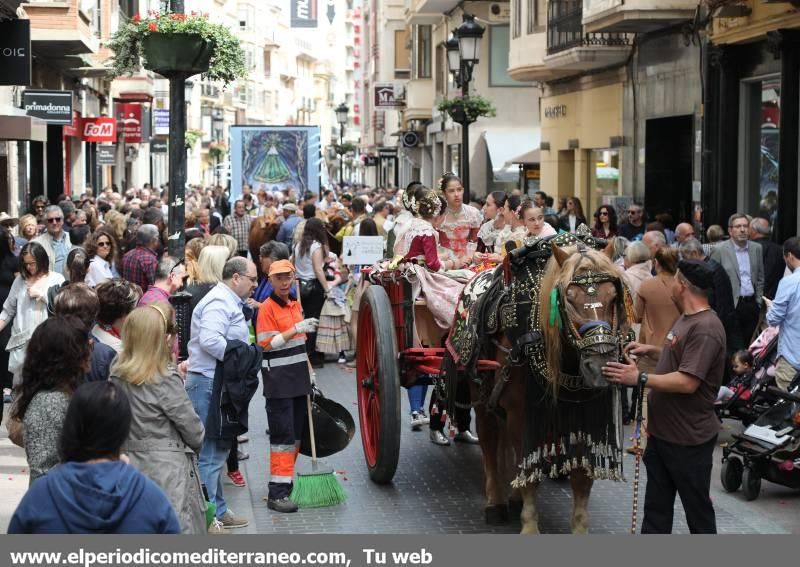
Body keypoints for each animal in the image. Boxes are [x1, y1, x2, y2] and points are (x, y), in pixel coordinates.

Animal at [446, 229, 636, 536]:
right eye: (568, 298)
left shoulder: (581, 416)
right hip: (482, 396)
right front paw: (529, 525)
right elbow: (528, 470)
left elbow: (580, 475)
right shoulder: (522, 414)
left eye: (613, 296)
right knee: (490, 444)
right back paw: (496, 502)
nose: (599, 365)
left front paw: (579, 528)